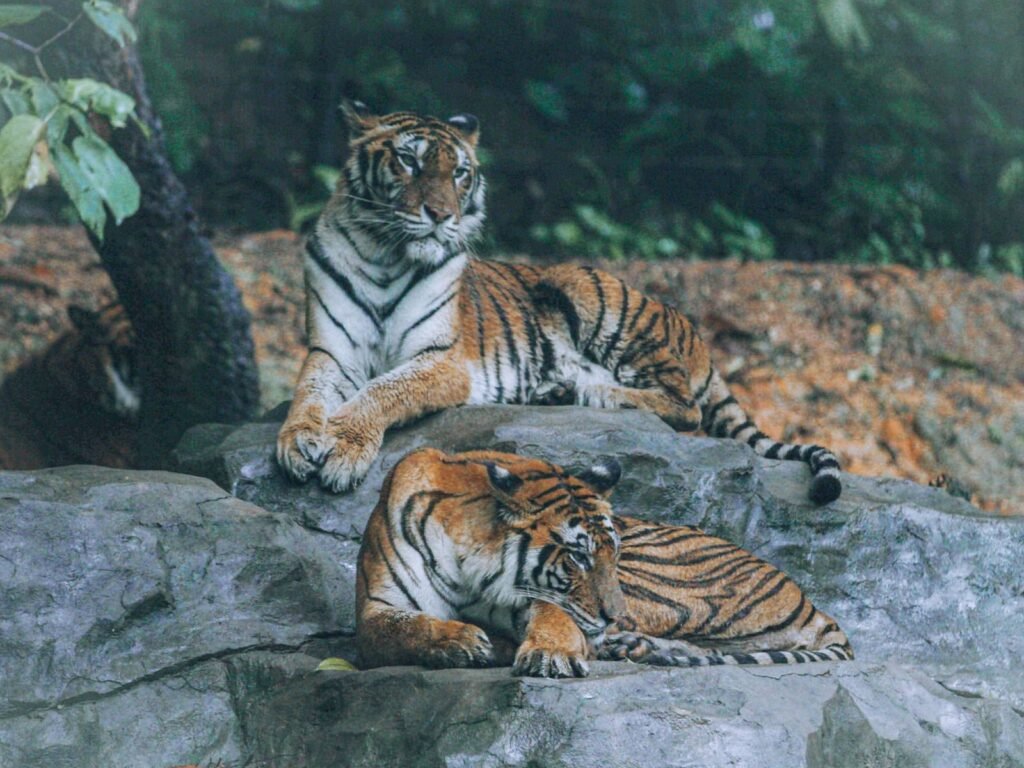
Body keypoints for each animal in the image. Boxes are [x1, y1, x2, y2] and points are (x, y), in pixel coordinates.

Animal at [277, 102, 843, 504]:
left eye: (460, 172)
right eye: (408, 160)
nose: (441, 216)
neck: (386, 255)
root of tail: (693, 330)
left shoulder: (441, 360)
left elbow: (382, 391)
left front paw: (344, 452)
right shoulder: (331, 351)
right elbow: (310, 393)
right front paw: (297, 443)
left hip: (593, 295)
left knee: (684, 407)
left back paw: (589, 392)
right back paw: (554, 390)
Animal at [356, 448, 852, 677]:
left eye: (612, 553)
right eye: (578, 557)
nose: (614, 615)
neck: (469, 567)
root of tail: (813, 604)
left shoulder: (542, 599)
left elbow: (556, 618)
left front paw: (550, 654)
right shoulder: (374, 608)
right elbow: (402, 628)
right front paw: (460, 641)